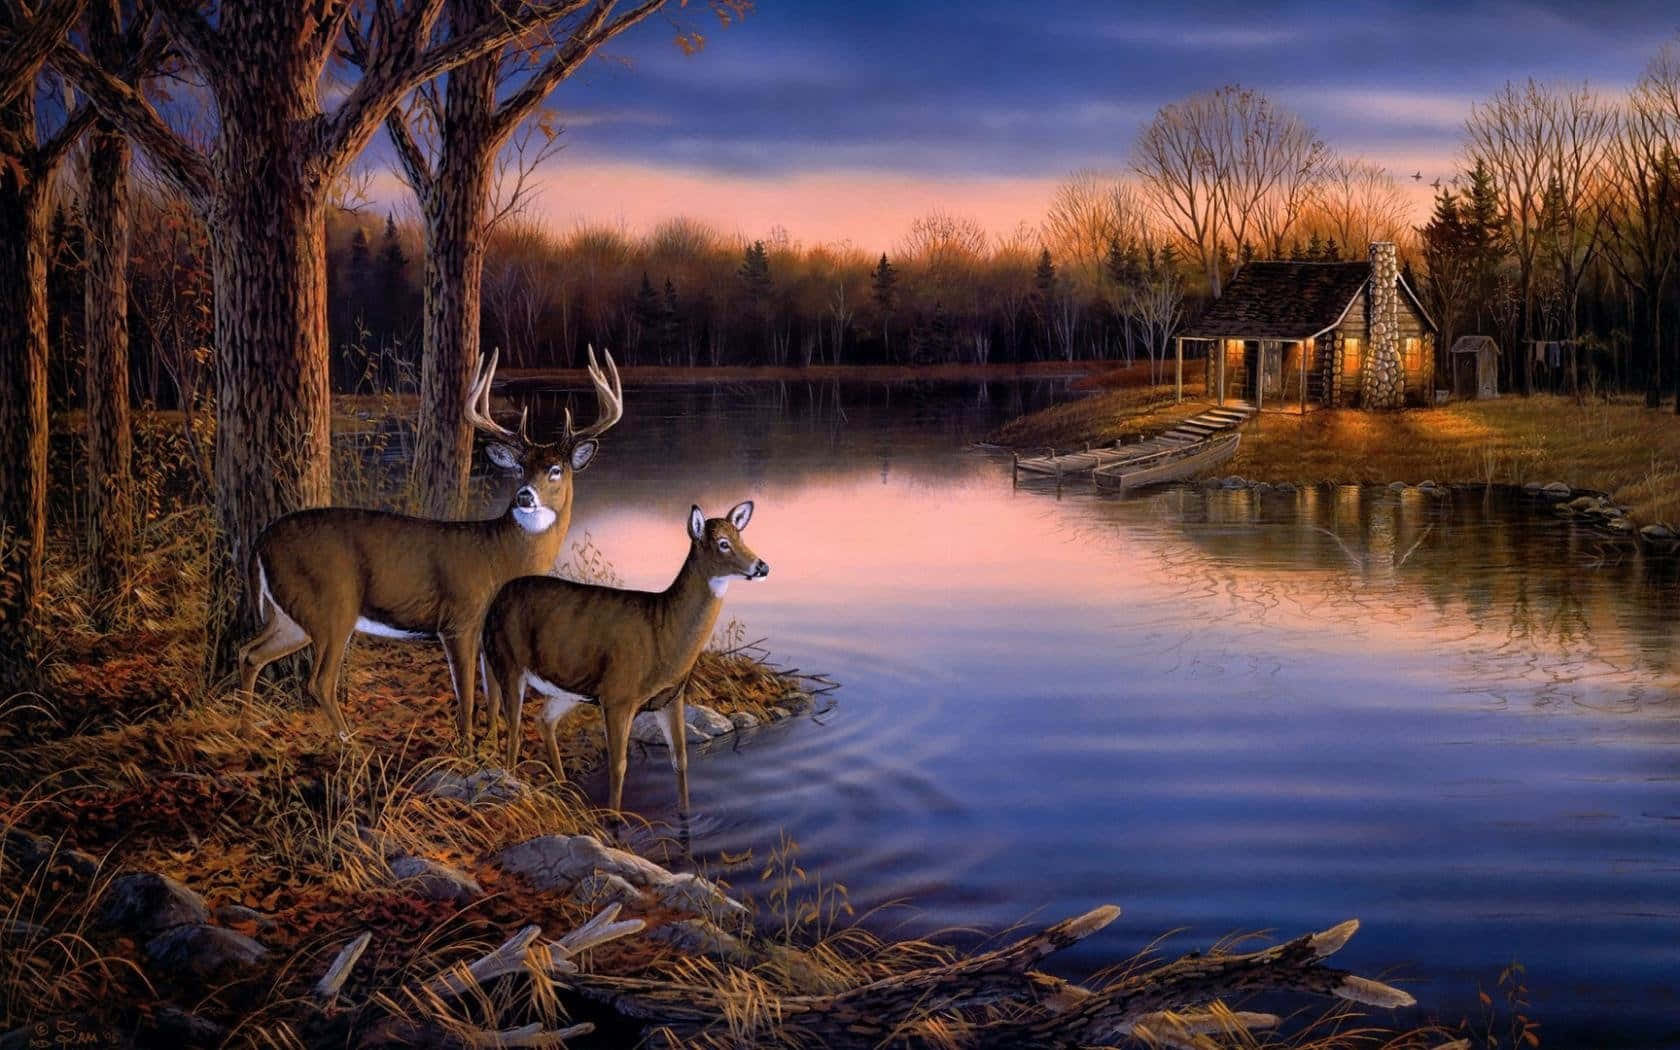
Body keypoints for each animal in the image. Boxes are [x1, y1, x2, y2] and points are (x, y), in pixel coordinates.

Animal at [238, 347, 624, 751]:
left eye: (555, 469)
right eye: (519, 468)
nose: (524, 496)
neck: (501, 557)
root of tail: (260, 542)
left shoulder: (488, 634)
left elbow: (493, 695)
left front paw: (490, 743)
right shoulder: (459, 619)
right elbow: (467, 695)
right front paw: (467, 749)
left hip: (290, 613)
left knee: (249, 653)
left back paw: (248, 730)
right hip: (331, 604)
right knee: (319, 681)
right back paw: (352, 744)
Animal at [480, 501, 769, 813]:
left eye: (742, 537)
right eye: (723, 543)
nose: (762, 566)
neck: (663, 632)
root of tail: (493, 602)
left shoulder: (671, 697)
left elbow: (680, 760)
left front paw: (685, 814)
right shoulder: (617, 696)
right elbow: (618, 766)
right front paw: (613, 818)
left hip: (566, 690)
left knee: (543, 721)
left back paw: (564, 789)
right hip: (508, 662)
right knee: (513, 728)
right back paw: (514, 786)